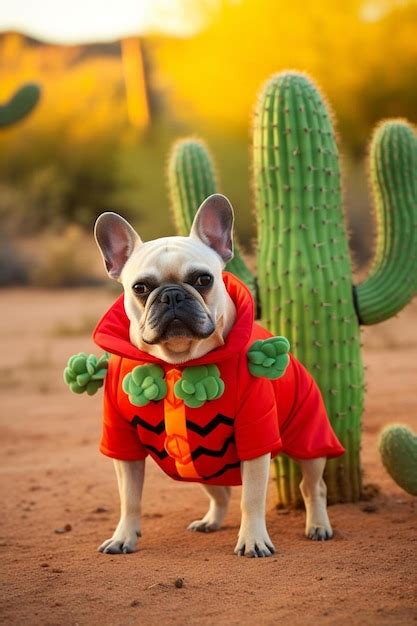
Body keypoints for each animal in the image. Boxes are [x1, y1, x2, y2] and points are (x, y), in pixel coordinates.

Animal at [92, 193, 342, 552]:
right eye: (140, 287)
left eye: (203, 279)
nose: (171, 294)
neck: (178, 362)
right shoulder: (122, 443)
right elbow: (130, 499)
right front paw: (124, 536)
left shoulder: (256, 434)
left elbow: (251, 498)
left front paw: (253, 540)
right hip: (195, 464)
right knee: (219, 492)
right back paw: (210, 521)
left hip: (310, 439)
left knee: (313, 487)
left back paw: (318, 525)